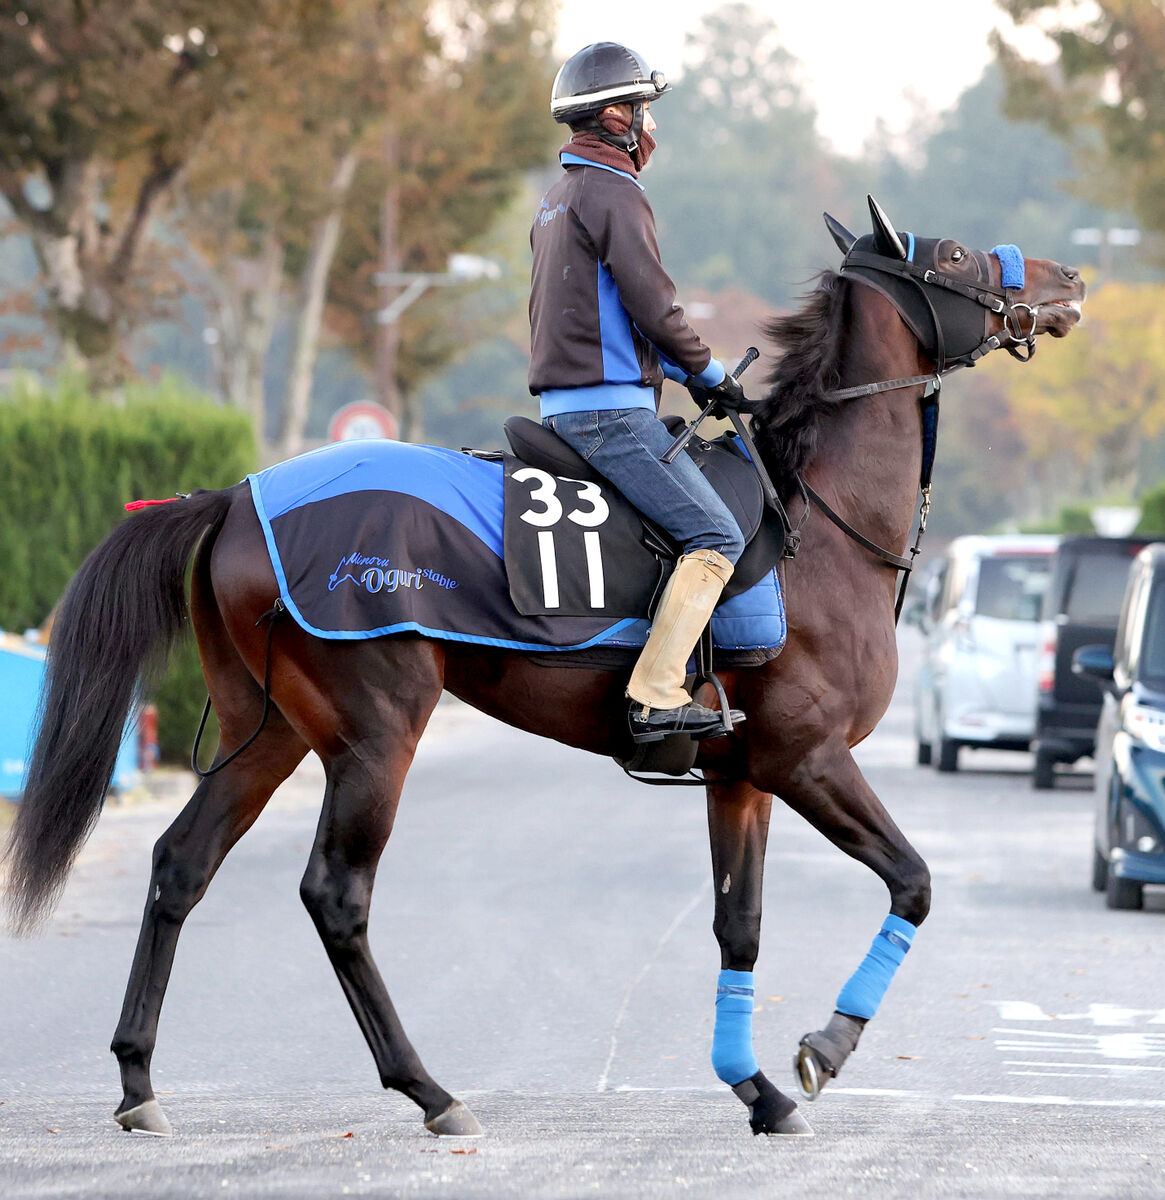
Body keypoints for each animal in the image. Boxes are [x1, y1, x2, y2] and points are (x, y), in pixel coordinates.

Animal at [4, 196, 1089, 1132]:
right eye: (952, 254)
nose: (1068, 277)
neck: (815, 524)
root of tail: (233, 497)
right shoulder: (807, 758)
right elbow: (913, 882)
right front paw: (824, 1045)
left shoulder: (740, 779)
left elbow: (738, 928)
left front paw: (756, 1091)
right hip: (375, 732)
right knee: (336, 897)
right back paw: (429, 1090)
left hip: (266, 733)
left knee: (180, 865)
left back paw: (138, 1081)